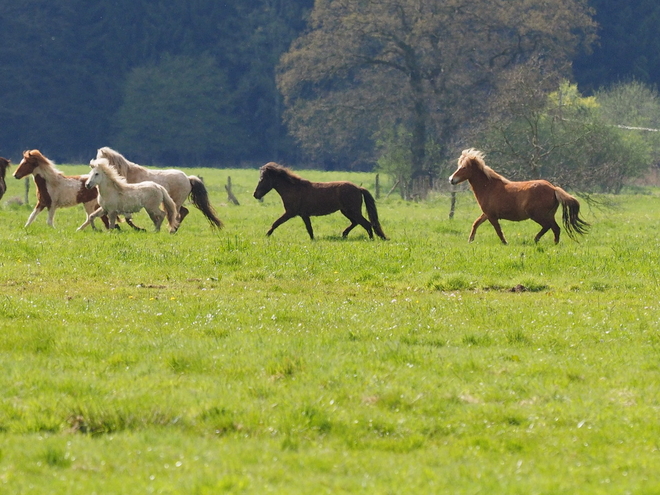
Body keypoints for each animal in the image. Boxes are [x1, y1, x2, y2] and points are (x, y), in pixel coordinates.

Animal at [95, 146, 224, 230]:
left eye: (101, 159)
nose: (94, 167)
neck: (128, 174)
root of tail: (188, 178)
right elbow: (126, 218)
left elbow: (127, 218)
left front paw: (138, 228)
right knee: (183, 212)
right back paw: (174, 229)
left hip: (175, 201)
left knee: (177, 213)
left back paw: (172, 229)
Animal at [251, 163, 386, 240]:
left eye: (263, 179)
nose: (255, 195)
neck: (293, 188)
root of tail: (358, 188)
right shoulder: (304, 215)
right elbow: (309, 228)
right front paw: (312, 239)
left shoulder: (290, 213)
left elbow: (276, 223)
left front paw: (266, 235)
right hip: (346, 211)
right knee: (356, 223)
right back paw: (344, 234)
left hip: (352, 211)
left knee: (366, 224)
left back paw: (370, 239)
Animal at [448, 149, 588, 246]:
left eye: (464, 167)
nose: (451, 179)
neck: (489, 187)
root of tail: (553, 189)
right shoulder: (487, 214)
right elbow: (476, 223)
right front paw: (470, 240)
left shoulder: (492, 216)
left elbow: (498, 231)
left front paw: (505, 243)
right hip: (548, 215)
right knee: (556, 229)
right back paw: (554, 244)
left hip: (537, 215)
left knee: (548, 227)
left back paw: (536, 240)